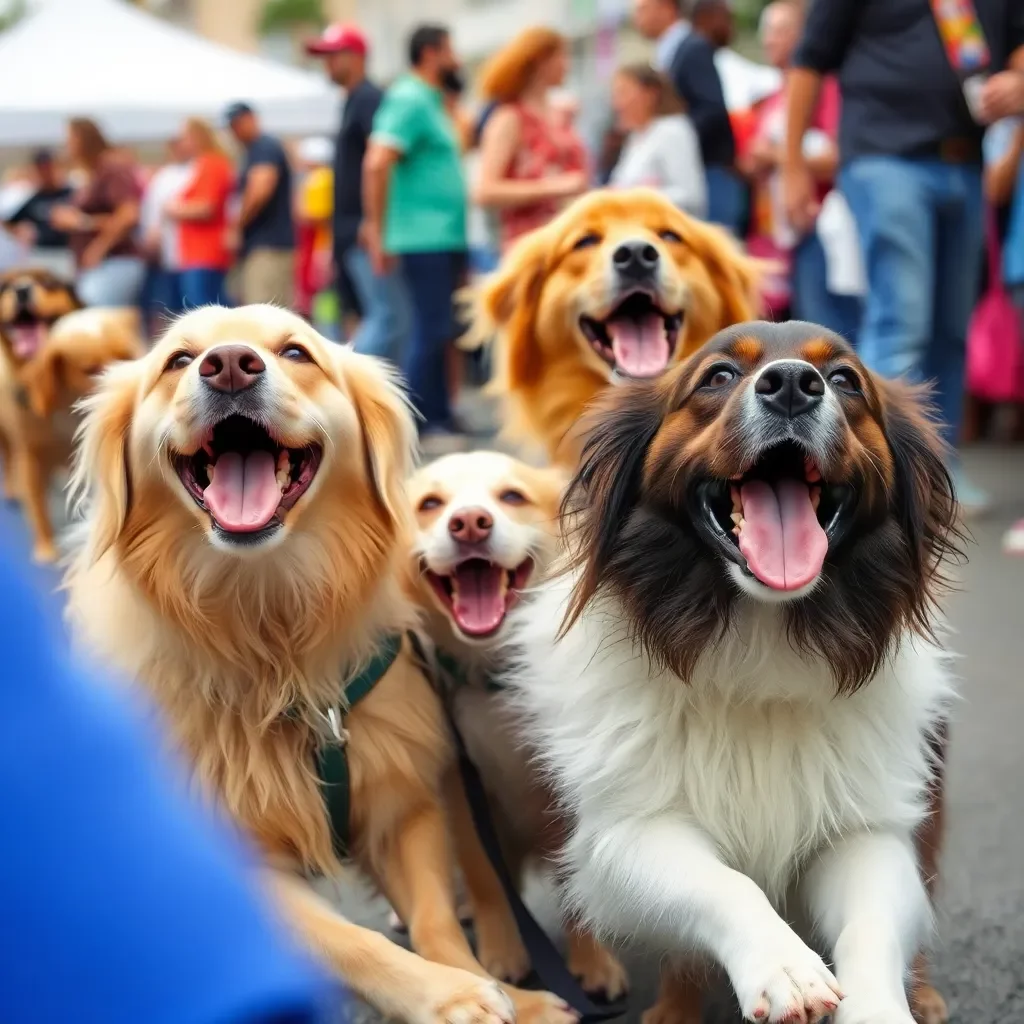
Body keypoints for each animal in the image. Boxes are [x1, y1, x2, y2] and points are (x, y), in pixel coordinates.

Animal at [64, 307, 577, 1024]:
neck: (271, 629)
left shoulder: (402, 802)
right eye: (177, 360)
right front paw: (451, 995)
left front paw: (509, 995)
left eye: (295, 352)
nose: (228, 365)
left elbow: (438, 925)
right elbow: (356, 942)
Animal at [403, 454, 626, 999]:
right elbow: (485, 876)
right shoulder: (462, 787)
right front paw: (502, 948)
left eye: (511, 497)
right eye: (430, 505)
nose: (468, 523)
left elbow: (574, 883)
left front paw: (593, 961)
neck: (498, 676)